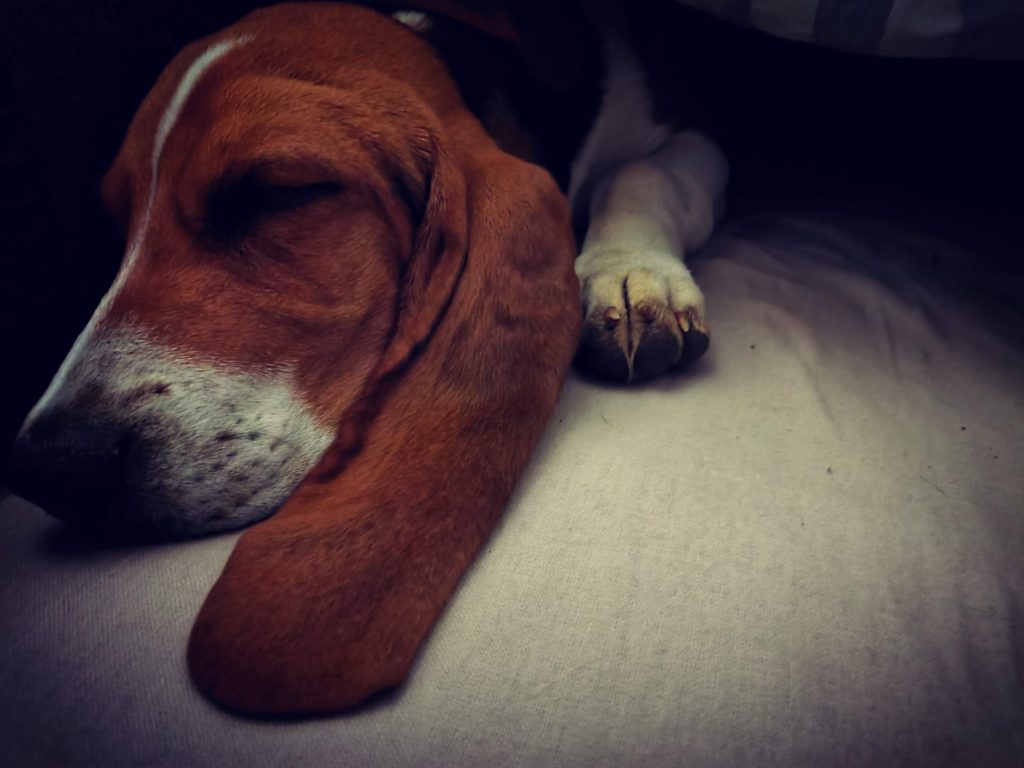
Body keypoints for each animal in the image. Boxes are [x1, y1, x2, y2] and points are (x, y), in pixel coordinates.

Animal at [7, 1, 727, 714]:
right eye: (119, 226)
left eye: (277, 193)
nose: (50, 466)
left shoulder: (698, 130)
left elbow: (640, 170)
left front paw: (629, 270)